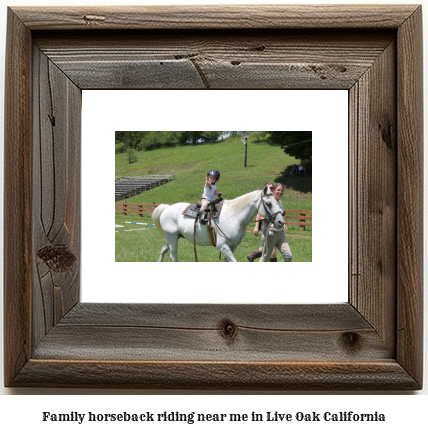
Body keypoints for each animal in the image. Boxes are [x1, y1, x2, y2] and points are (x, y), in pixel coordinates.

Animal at [153, 184, 284, 262]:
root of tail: (167, 208)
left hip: (174, 237)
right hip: (172, 237)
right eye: (268, 203)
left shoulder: (232, 246)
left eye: (276, 201)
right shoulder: (223, 246)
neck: (234, 217)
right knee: (173, 256)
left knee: (163, 250)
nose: (280, 222)